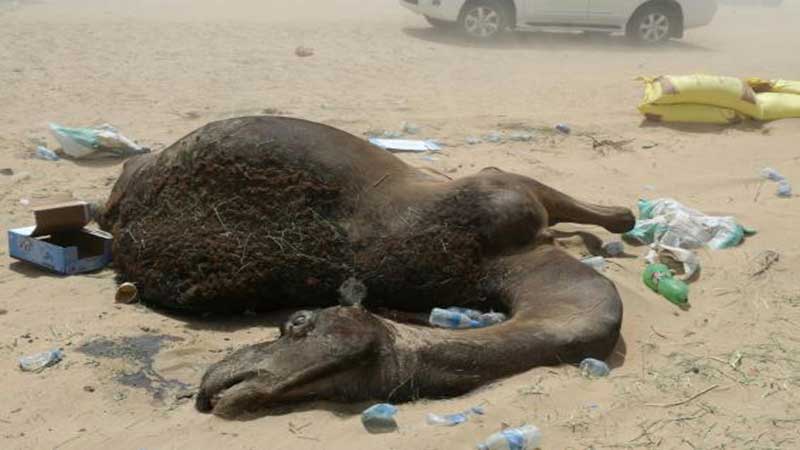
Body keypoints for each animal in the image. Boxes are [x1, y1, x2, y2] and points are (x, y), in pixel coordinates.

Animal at [96, 116, 635, 417]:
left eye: (297, 322)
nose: (222, 386)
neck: (510, 264)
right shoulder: (502, 188)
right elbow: (606, 211)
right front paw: (616, 220)